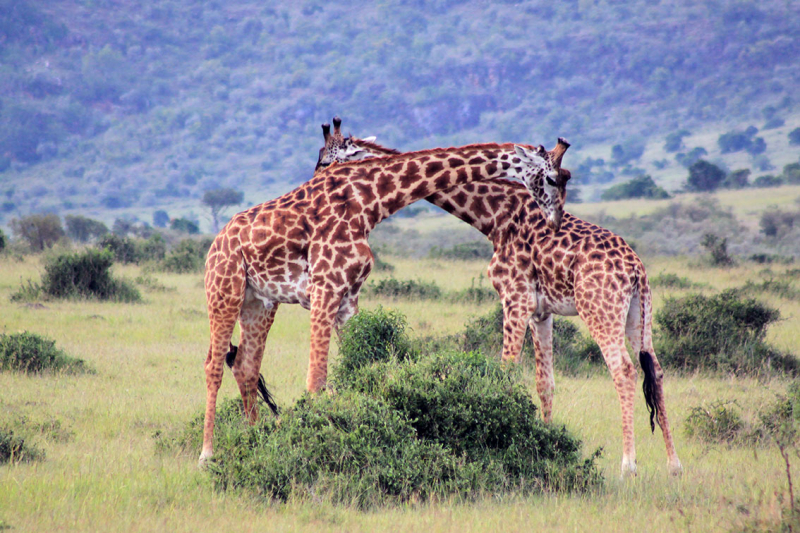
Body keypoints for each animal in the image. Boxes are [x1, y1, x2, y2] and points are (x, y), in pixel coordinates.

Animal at [203, 134, 572, 466]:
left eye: (566, 178)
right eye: (553, 178)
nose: (554, 221)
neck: (369, 202)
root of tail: (215, 243)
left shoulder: (348, 298)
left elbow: (358, 369)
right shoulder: (324, 287)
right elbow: (316, 380)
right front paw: (309, 445)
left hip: (258, 302)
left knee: (246, 365)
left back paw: (255, 438)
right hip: (224, 290)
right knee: (213, 365)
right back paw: (207, 455)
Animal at [318, 121, 680, 478]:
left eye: (325, 161)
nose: (318, 185)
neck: (495, 216)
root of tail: (635, 268)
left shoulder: (514, 297)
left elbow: (506, 370)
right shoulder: (541, 312)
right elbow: (544, 382)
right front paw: (548, 445)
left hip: (600, 309)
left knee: (624, 370)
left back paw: (628, 465)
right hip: (638, 314)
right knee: (657, 370)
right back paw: (673, 465)